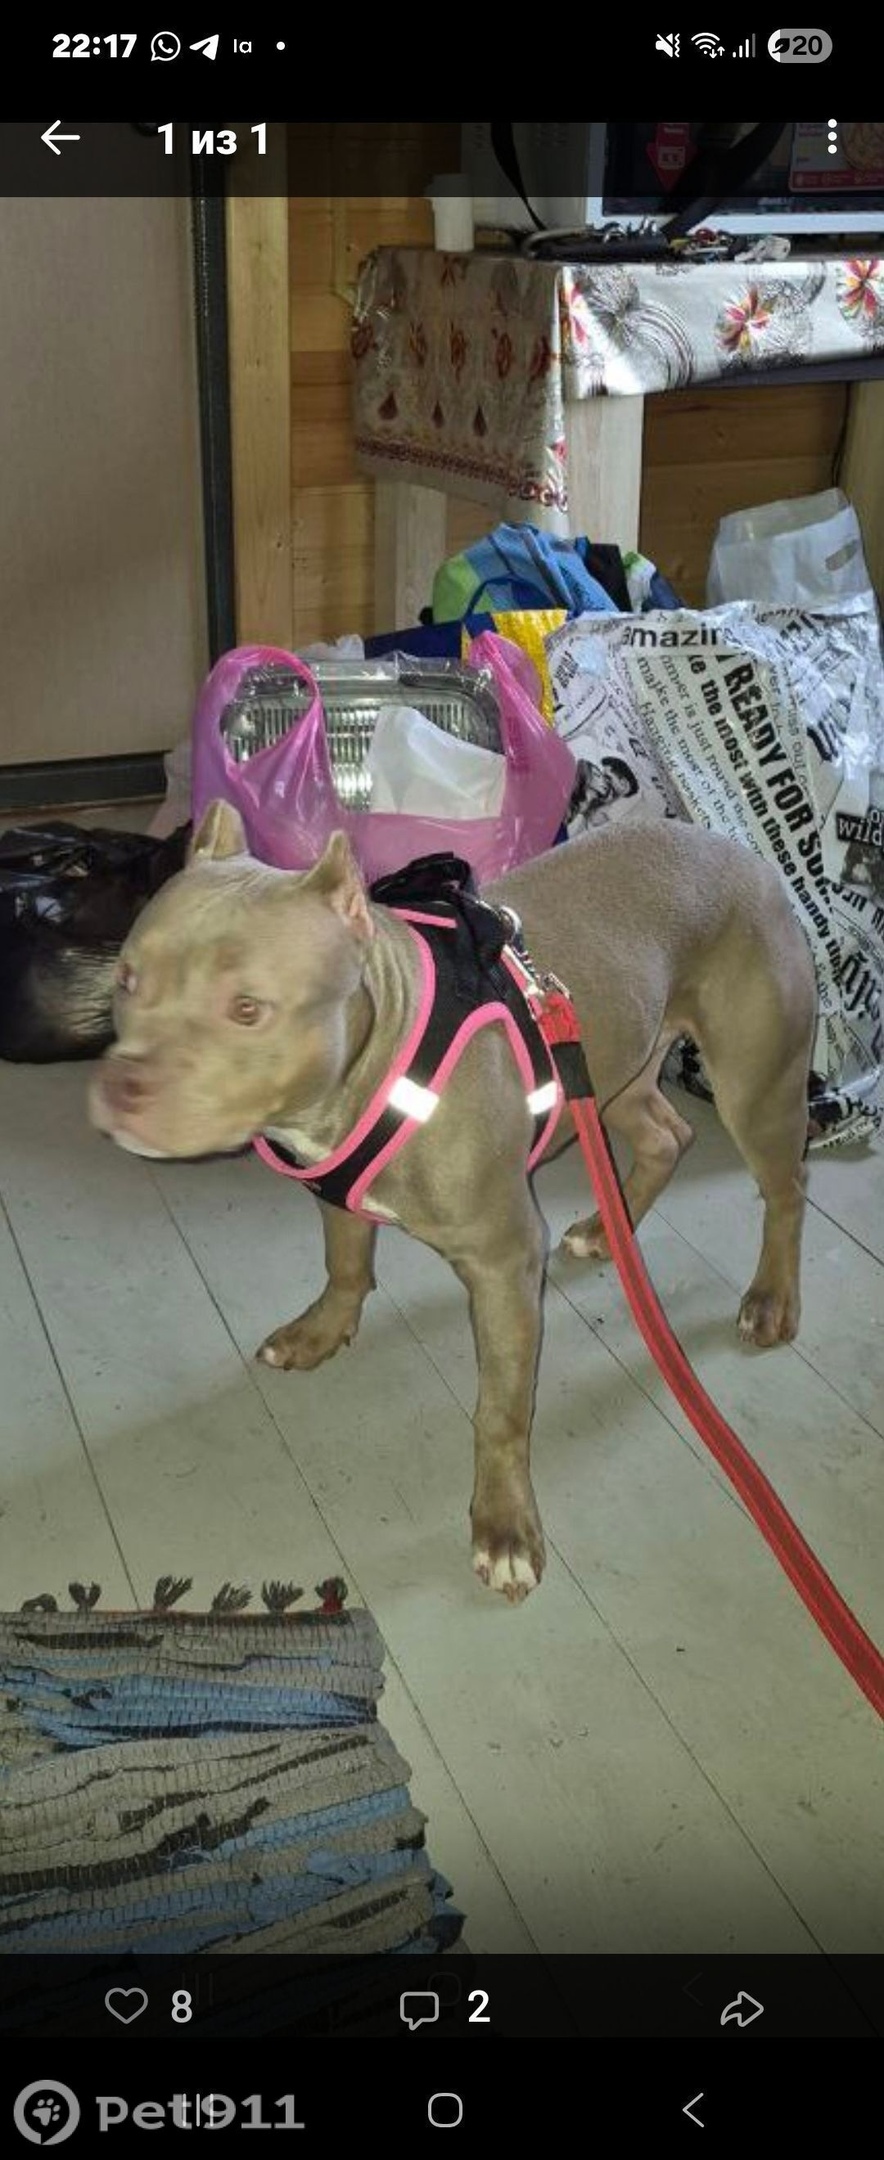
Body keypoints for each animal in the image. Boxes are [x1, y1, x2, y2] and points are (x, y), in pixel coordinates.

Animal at [89, 801, 817, 1603]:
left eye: (247, 1009)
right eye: (127, 979)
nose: (121, 1088)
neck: (382, 1041)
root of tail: (736, 850)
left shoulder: (504, 1264)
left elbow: (499, 1411)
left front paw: (505, 1528)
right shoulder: (338, 1196)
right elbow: (346, 1267)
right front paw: (320, 1334)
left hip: (754, 1085)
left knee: (784, 1188)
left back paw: (771, 1299)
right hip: (610, 1073)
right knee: (666, 1136)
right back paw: (606, 1227)